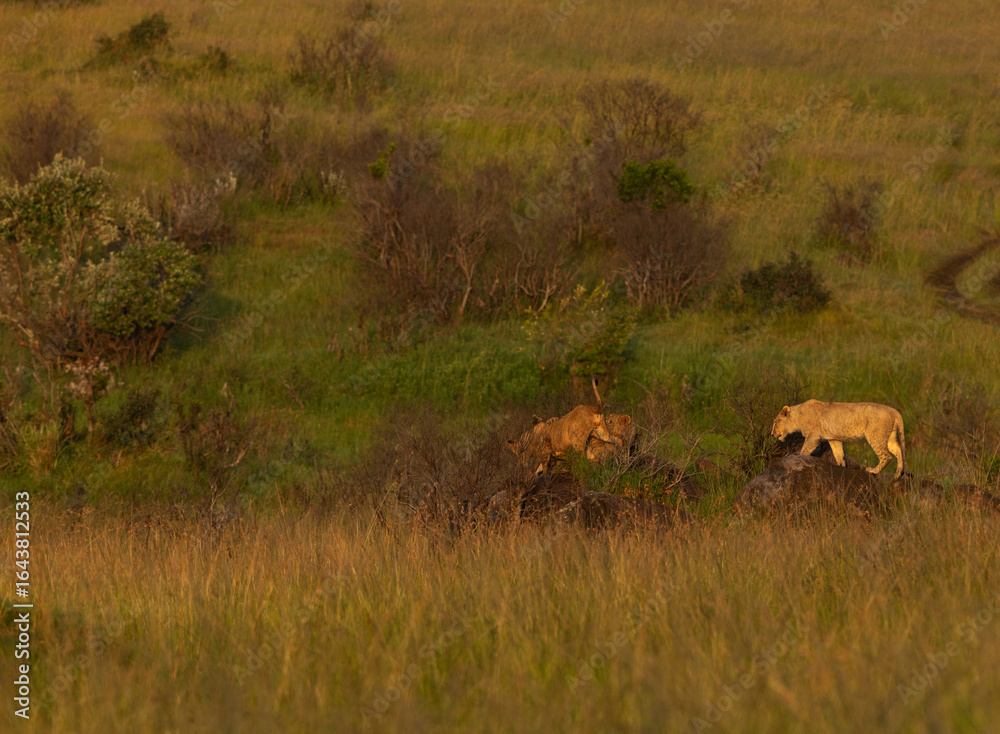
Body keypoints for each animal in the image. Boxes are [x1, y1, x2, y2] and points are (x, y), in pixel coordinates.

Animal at [771, 399, 906, 479]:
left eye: (775, 423)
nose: (771, 434)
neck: (797, 416)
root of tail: (893, 410)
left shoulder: (813, 435)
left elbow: (805, 449)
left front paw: (799, 458)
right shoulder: (833, 438)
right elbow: (838, 453)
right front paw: (841, 466)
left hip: (875, 436)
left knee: (886, 456)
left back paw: (873, 471)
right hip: (889, 437)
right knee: (898, 450)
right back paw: (898, 474)